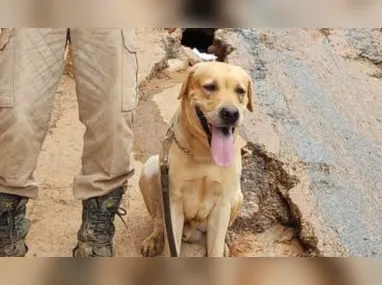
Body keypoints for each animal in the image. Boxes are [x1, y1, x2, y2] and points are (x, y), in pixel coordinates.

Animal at [139, 61, 252, 256]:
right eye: (210, 87)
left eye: (240, 91)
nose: (231, 113)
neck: (205, 154)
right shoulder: (174, 203)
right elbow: (171, 246)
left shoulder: (222, 206)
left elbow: (215, 247)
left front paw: (220, 247)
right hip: (150, 169)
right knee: (160, 221)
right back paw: (154, 238)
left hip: (238, 195)